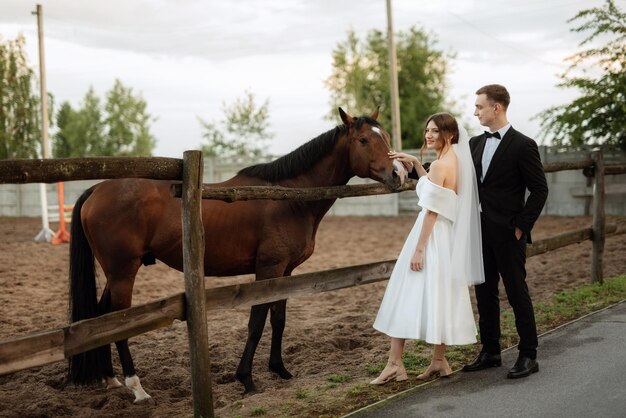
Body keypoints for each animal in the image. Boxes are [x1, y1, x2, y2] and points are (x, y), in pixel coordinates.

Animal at [68, 107, 408, 398]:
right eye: (364, 140)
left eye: (385, 136)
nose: (398, 174)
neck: (288, 197)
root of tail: (96, 190)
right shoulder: (268, 268)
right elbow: (257, 321)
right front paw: (247, 379)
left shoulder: (286, 272)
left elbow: (278, 318)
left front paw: (280, 370)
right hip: (123, 272)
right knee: (119, 321)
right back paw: (136, 387)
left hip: (116, 274)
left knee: (103, 319)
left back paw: (111, 378)